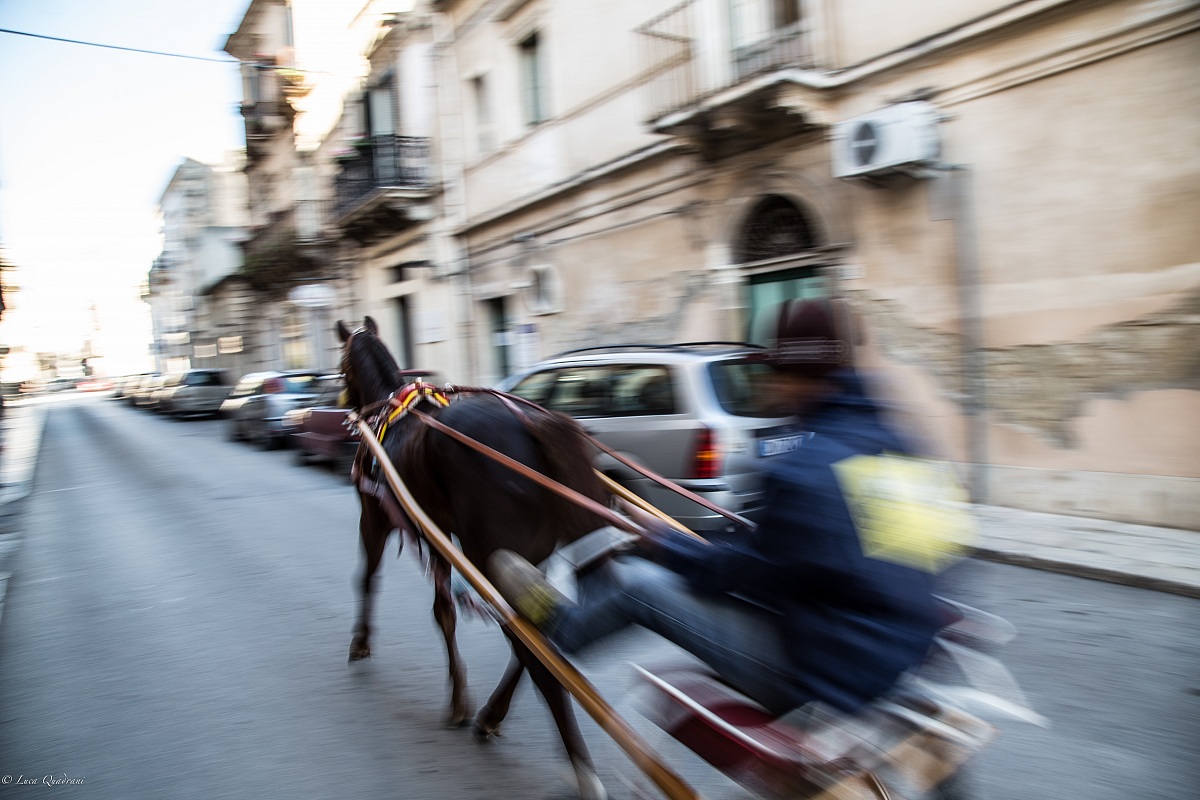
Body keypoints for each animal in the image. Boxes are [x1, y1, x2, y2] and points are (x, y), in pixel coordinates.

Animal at [337, 317, 612, 800]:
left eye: (343, 367)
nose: (348, 408)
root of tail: (534, 426)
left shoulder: (375, 515)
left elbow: (368, 578)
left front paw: (362, 641)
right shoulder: (437, 535)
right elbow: (444, 610)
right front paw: (461, 698)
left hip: (486, 555)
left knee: (531, 647)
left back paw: (580, 767)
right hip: (524, 561)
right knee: (537, 638)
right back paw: (492, 715)